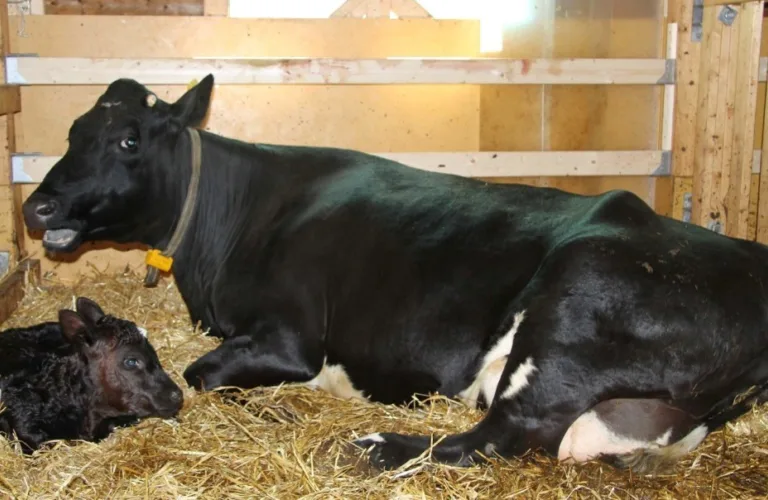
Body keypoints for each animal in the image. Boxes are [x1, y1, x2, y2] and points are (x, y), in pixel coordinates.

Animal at [20, 74, 768, 474]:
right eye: (72, 131)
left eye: (128, 139)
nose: (37, 205)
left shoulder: (290, 338)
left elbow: (201, 373)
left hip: (574, 304)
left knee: (499, 436)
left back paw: (375, 445)